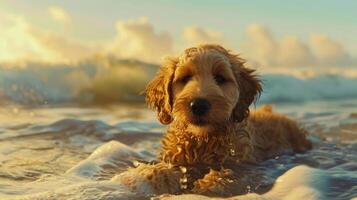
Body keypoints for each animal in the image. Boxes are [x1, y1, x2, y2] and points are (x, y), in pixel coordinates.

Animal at [115, 44, 310, 197]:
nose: (199, 104)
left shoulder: (246, 166)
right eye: (185, 78)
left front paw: (207, 187)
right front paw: (149, 175)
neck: (202, 140)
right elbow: (160, 170)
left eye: (220, 78)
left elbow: (230, 175)